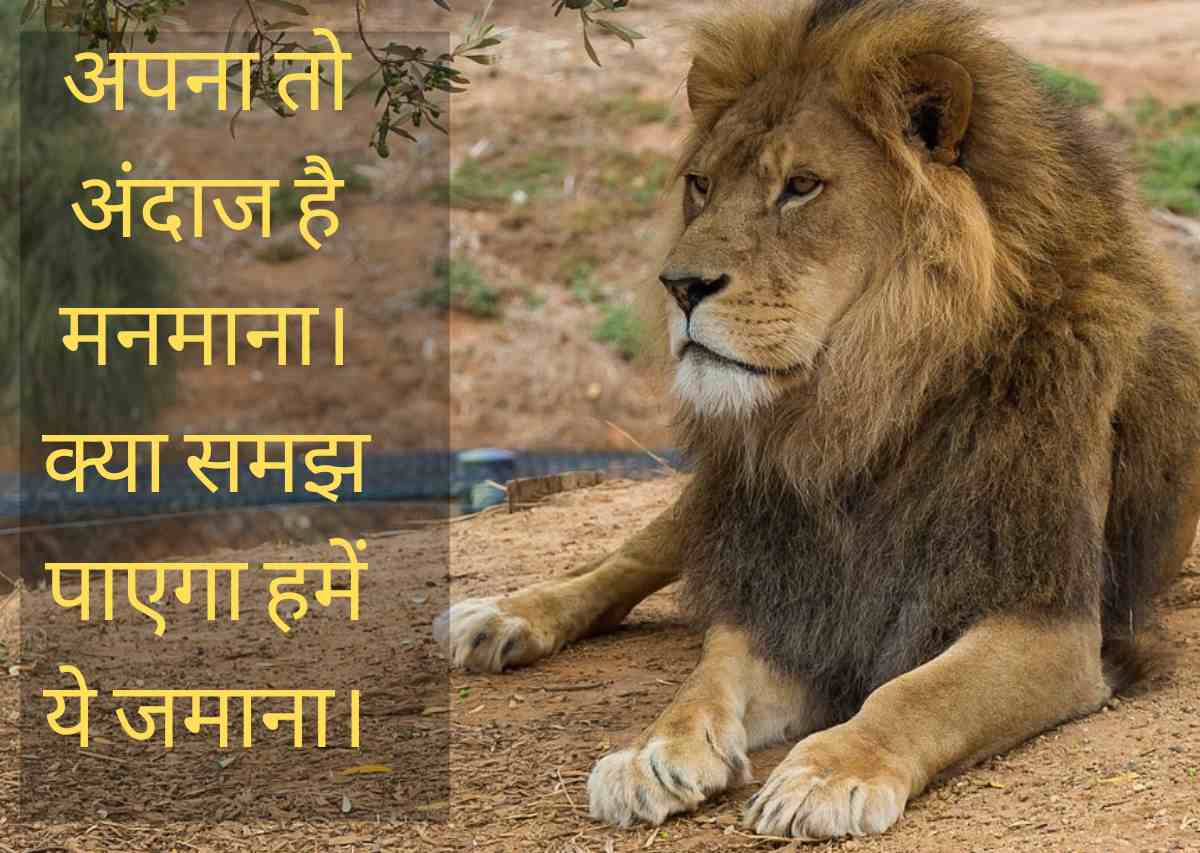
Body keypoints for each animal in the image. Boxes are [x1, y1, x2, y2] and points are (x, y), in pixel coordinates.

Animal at [434, 0, 1200, 840]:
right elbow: (709, 671)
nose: (679, 285)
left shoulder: (1048, 617)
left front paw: (833, 770)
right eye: (700, 185)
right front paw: (653, 751)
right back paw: (502, 616)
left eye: (800, 187)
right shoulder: (789, 587)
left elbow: (917, 691)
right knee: (632, 554)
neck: (862, 416)